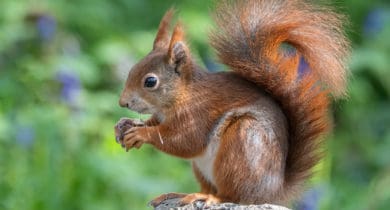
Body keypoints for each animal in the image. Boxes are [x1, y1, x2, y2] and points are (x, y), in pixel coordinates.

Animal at [114, 0, 348, 207]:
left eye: (150, 82)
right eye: (132, 68)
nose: (122, 103)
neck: (183, 95)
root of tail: (273, 191)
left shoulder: (198, 114)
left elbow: (184, 140)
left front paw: (141, 134)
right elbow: (155, 124)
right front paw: (125, 125)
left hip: (242, 143)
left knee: (233, 195)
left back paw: (211, 198)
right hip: (203, 168)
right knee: (208, 186)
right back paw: (183, 194)